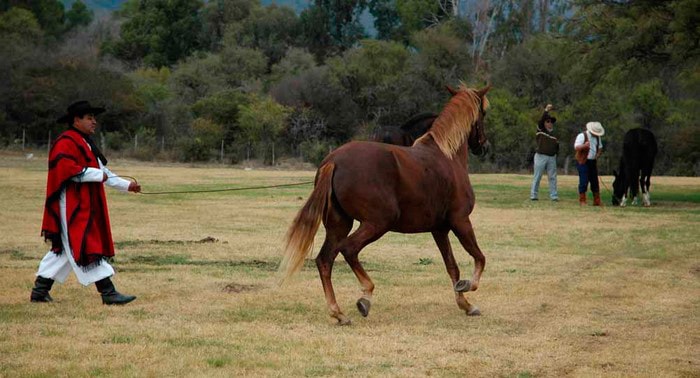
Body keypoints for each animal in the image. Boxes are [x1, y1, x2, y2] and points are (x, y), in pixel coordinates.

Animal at [278, 84, 492, 324]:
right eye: (484, 113)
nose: (484, 146)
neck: (446, 156)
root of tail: (333, 161)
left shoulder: (439, 229)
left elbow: (452, 267)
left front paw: (466, 304)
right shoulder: (460, 221)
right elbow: (479, 257)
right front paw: (468, 287)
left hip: (339, 225)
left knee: (325, 259)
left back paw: (338, 313)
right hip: (378, 223)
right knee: (349, 250)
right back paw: (365, 297)